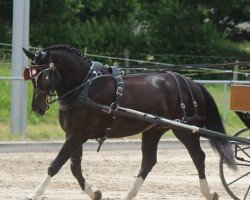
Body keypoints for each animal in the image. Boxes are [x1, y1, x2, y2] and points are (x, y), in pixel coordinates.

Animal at [22, 45, 235, 200]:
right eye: (30, 75)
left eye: (45, 75)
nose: (37, 107)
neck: (85, 86)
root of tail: (192, 82)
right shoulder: (73, 134)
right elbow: (75, 168)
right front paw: (95, 192)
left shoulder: (78, 135)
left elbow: (56, 164)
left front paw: (34, 194)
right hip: (153, 130)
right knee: (148, 161)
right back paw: (129, 195)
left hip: (184, 129)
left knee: (198, 157)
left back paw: (208, 192)